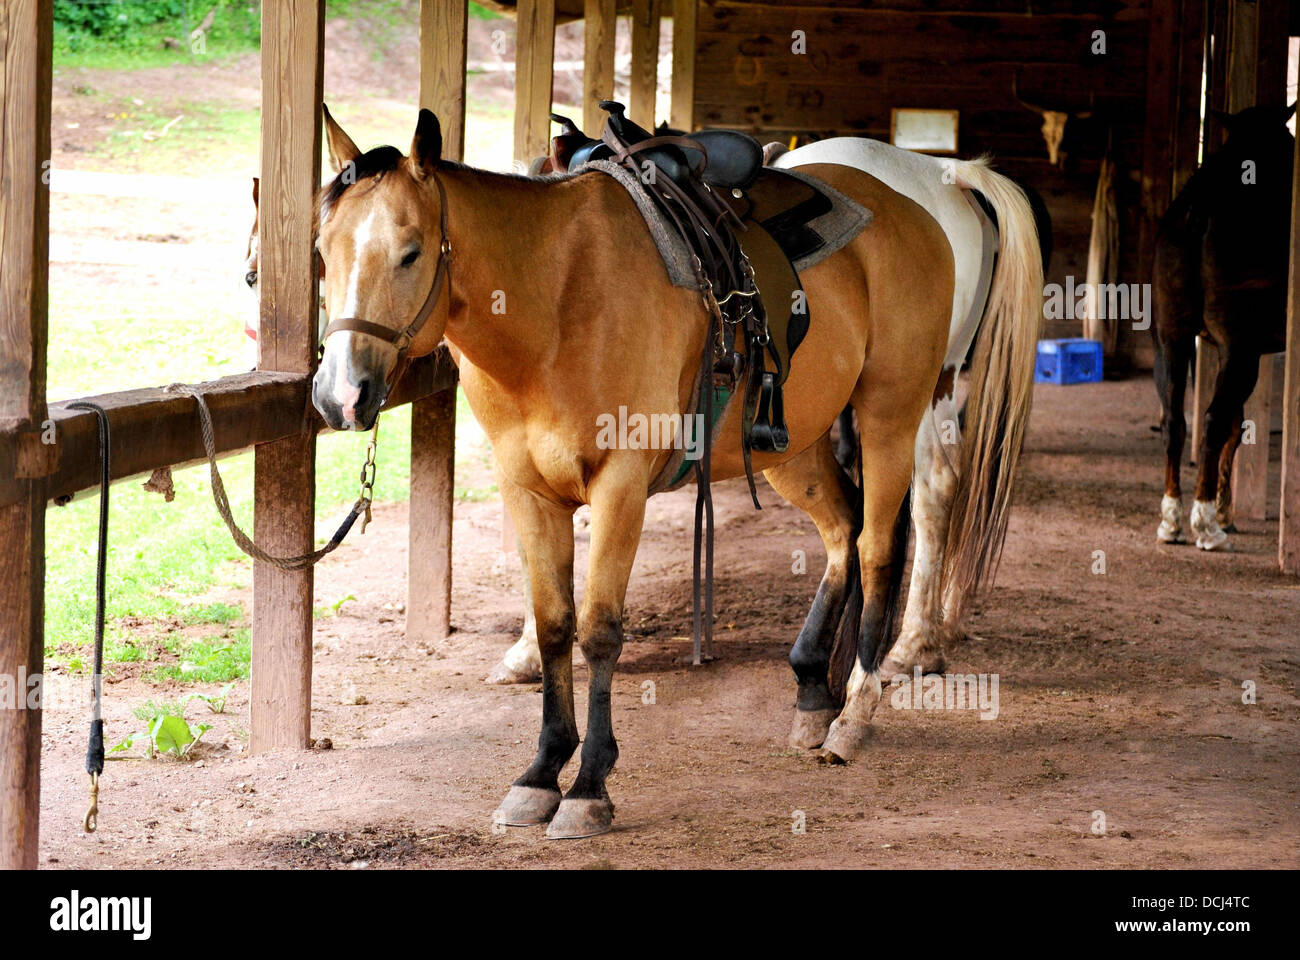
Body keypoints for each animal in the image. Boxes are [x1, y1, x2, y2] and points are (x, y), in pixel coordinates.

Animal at [309, 104, 1040, 832]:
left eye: (409, 253)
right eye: (322, 251)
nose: (340, 394)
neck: (555, 301)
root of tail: (925, 198)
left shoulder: (621, 486)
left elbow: (599, 630)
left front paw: (589, 788)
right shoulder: (528, 490)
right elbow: (554, 626)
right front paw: (540, 773)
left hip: (896, 412)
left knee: (883, 542)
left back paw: (860, 707)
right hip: (794, 444)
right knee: (843, 531)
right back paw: (812, 690)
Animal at [1154, 102, 1294, 546]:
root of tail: (1200, 207)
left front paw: (1226, 507)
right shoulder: (1237, 347)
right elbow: (1231, 426)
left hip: (1173, 338)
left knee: (1175, 420)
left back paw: (1173, 519)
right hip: (1238, 348)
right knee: (1214, 422)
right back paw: (1205, 522)